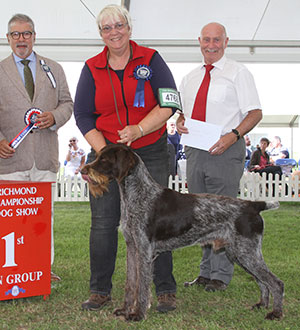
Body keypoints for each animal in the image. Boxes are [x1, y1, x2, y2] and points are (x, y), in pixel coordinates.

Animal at [81, 143, 284, 320]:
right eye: (97, 156)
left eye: (104, 159)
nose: (83, 170)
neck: (137, 193)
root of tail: (253, 205)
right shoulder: (133, 248)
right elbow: (130, 284)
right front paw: (125, 310)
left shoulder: (145, 252)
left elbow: (142, 286)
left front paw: (138, 314)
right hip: (240, 253)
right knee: (262, 281)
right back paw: (262, 305)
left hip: (246, 252)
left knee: (276, 283)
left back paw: (275, 313)